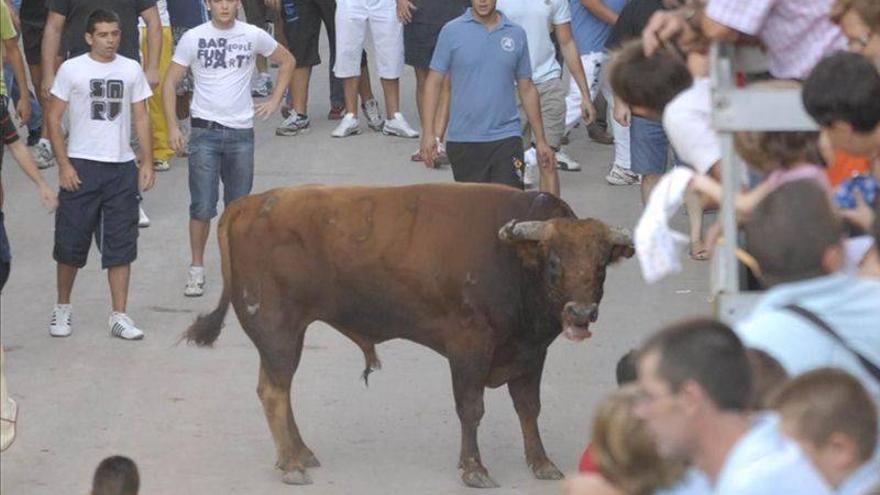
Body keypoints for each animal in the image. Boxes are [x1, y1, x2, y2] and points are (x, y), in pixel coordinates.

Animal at [184, 183, 632, 488]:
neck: (513, 260)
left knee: (278, 389)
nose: (581, 313)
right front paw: (475, 468)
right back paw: (292, 464)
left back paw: (300, 454)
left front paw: (542, 463)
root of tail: (248, 203)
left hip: (284, 338)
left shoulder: (530, 353)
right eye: (554, 262)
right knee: (274, 392)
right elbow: (472, 408)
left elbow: (528, 407)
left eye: (601, 265)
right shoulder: (469, 347)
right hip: (279, 332)